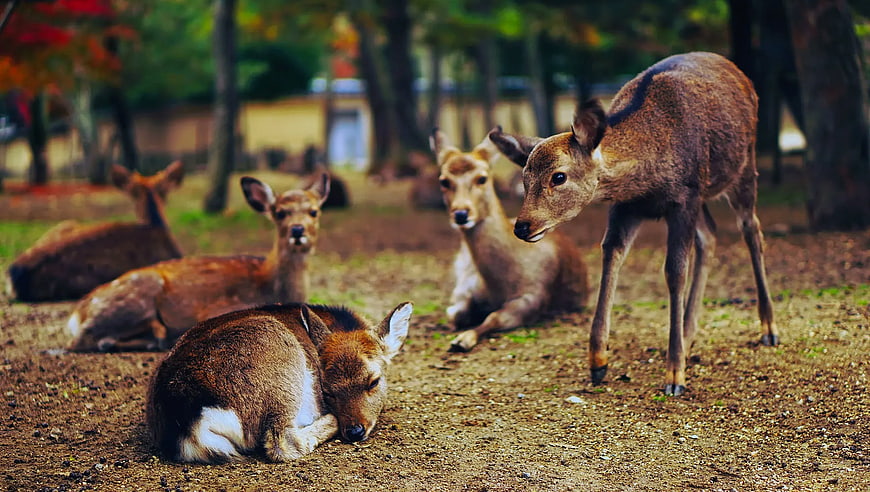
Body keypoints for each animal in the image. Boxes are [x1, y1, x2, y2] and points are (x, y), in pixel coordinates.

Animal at [65, 173, 330, 352]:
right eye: (280, 212)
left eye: (314, 211)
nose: (298, 230)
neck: (270, 284)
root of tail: (77, 314)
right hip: (135, 297)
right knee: (83, 340)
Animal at [431, 129, 589, 352]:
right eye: (443, 180)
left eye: (482, 178)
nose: (461, 214)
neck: (498, 285)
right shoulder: (464, 288)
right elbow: (455, 313)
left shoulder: (533, 296)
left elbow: (494, 317)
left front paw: (462, 340)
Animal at [488, 52, 777, 396]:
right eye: (524, 177)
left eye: (558, 176)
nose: (522, 226)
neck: (647, 178)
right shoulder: (627, 206)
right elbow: (611, 256)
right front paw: (598, 362)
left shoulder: (684, 197)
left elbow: (674, 272)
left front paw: (674, 375)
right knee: (710, 234)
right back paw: (689, 333)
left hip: (743, 167)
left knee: (752, 230)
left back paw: (768, 329)